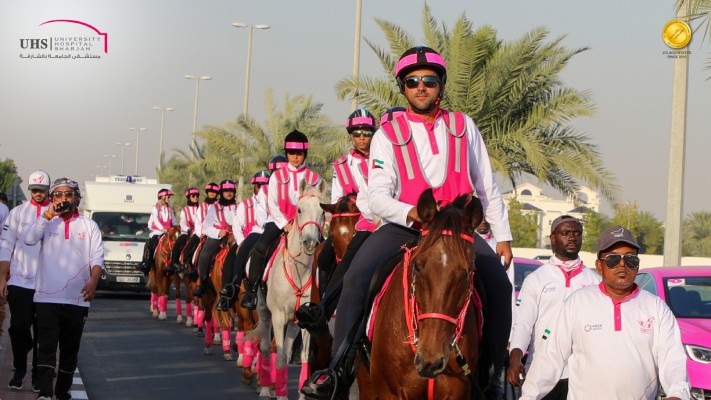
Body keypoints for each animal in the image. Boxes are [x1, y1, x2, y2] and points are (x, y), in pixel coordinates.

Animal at [258, 180, 326, 398]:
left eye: (322, 212)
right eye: (299, 209)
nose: (310, 242)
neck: (299, 270)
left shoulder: (305, 320)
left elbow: (303, 358)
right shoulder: (279, 317)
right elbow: (279, 358)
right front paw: (280, 395)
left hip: (294, 323)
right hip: (264, 312)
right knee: (265, 348)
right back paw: (265, 389)